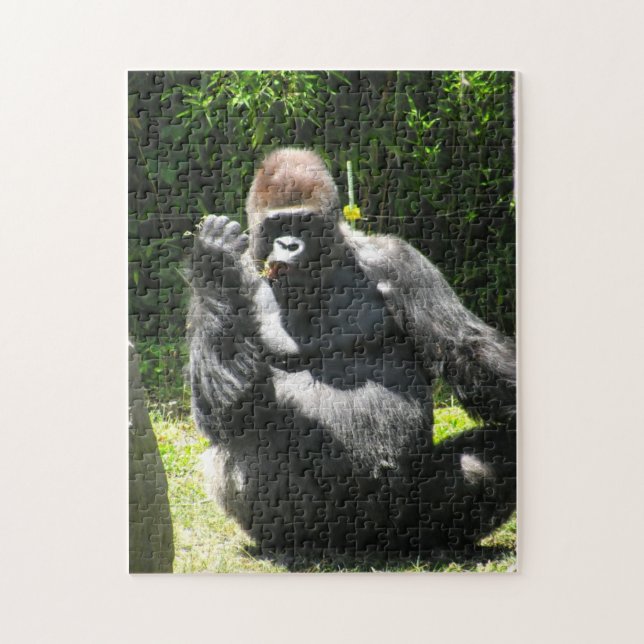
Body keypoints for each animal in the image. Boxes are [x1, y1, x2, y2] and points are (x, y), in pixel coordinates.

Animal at [188, 148, 516, 564]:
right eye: (278, 225)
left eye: (304, 223)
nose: (289, 246)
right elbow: (225, 414)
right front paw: (215, 262)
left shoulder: (400, 260)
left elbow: (463, 344)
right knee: (244, 446)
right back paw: (294, 545)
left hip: (403, 521)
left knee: (494, 451)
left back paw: (443, 541)